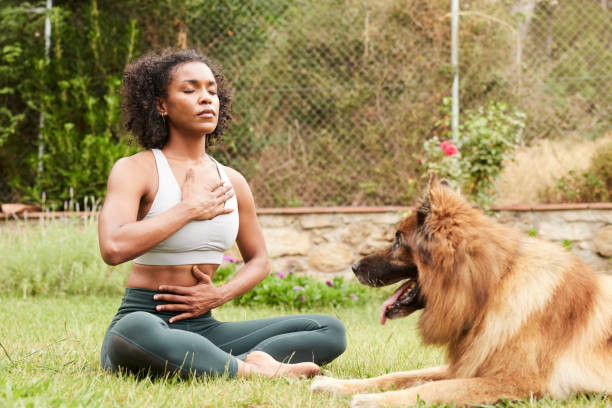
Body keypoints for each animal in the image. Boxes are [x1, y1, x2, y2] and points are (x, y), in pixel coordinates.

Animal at [314, 175, 608, 408]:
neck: (491, 289)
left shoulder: (518, 381)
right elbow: (399, 376)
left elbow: (432, 388)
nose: (353, 267)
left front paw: (375, 401)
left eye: (397, 240)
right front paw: (335, 385)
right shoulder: (469, 363)